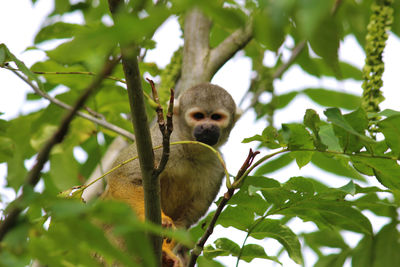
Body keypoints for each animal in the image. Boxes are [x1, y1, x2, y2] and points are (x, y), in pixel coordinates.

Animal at [101, 82, 241, 266]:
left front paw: (166, 254)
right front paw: (160, 221)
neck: (190, 151)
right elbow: (124, 178)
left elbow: (186, 219)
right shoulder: (158, 142)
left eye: (216, 117)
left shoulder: (217, 168)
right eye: (198, 116)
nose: (208, 128)